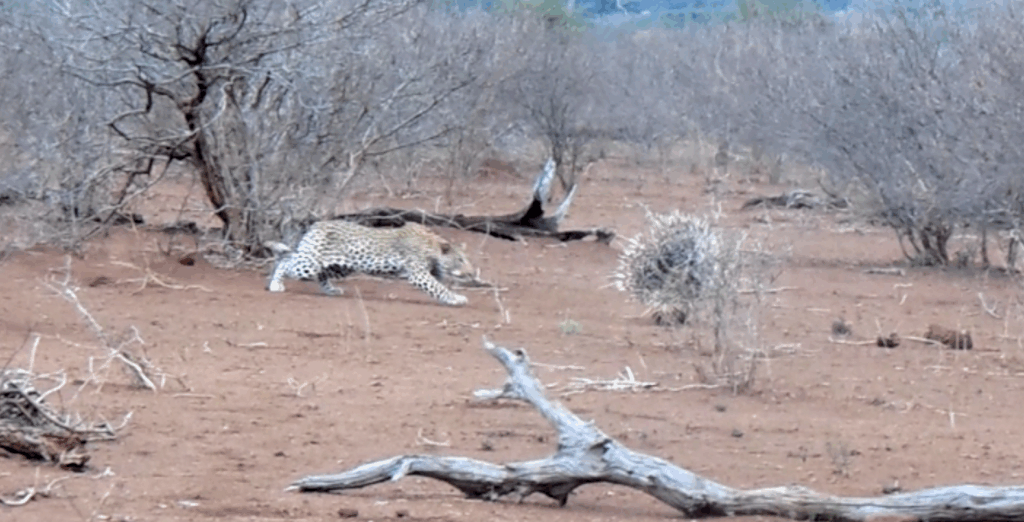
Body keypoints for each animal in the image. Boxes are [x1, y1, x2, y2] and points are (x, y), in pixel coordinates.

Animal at [266, 220, 473, 306]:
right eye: (460, 259)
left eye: (466, 259)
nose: (472, 273)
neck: (433, 246)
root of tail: (316, 224)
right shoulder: (418, 273)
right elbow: (438, 288)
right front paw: (456, 298)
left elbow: (440, 284)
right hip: (309, 264)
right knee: (286, 260)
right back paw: (275, 284)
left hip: (340, 267)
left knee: (322, 275)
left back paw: (331, 290)